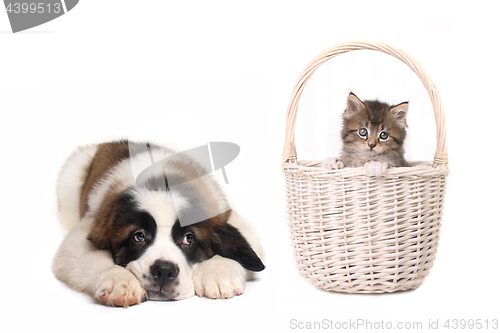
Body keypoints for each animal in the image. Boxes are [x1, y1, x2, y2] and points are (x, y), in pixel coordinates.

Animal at [52, 140, 266, 306]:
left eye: (188, 238)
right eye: (139, 236)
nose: (164, 271)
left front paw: (218, 270)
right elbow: (87, 256)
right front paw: (119, 280)